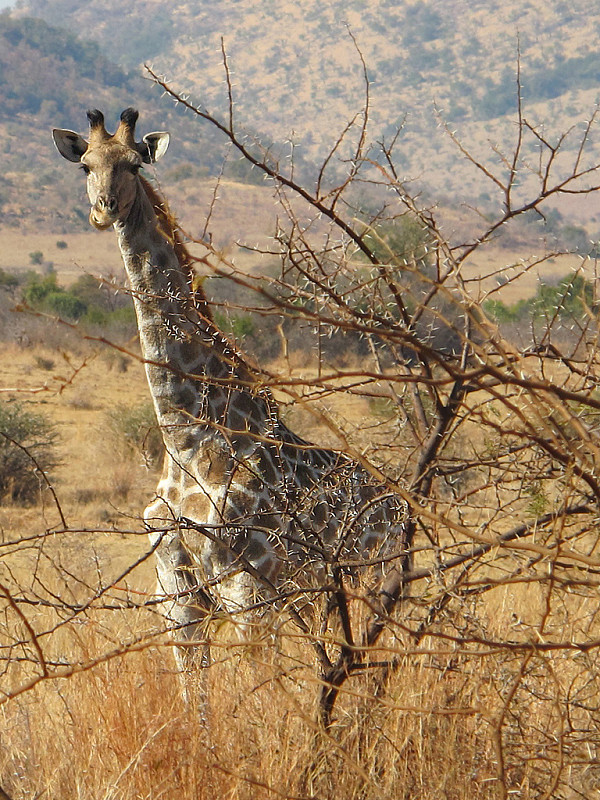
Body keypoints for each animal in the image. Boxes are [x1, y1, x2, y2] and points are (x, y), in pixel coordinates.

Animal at [52, 108, 408, 676]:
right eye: (85, 165)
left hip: (375, 577)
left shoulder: (250, 580)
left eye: (134, 163)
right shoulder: (176, 587)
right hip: (327, 592)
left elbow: (258, 681)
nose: (103, 210)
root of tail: (406, 510)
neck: (185, 438)